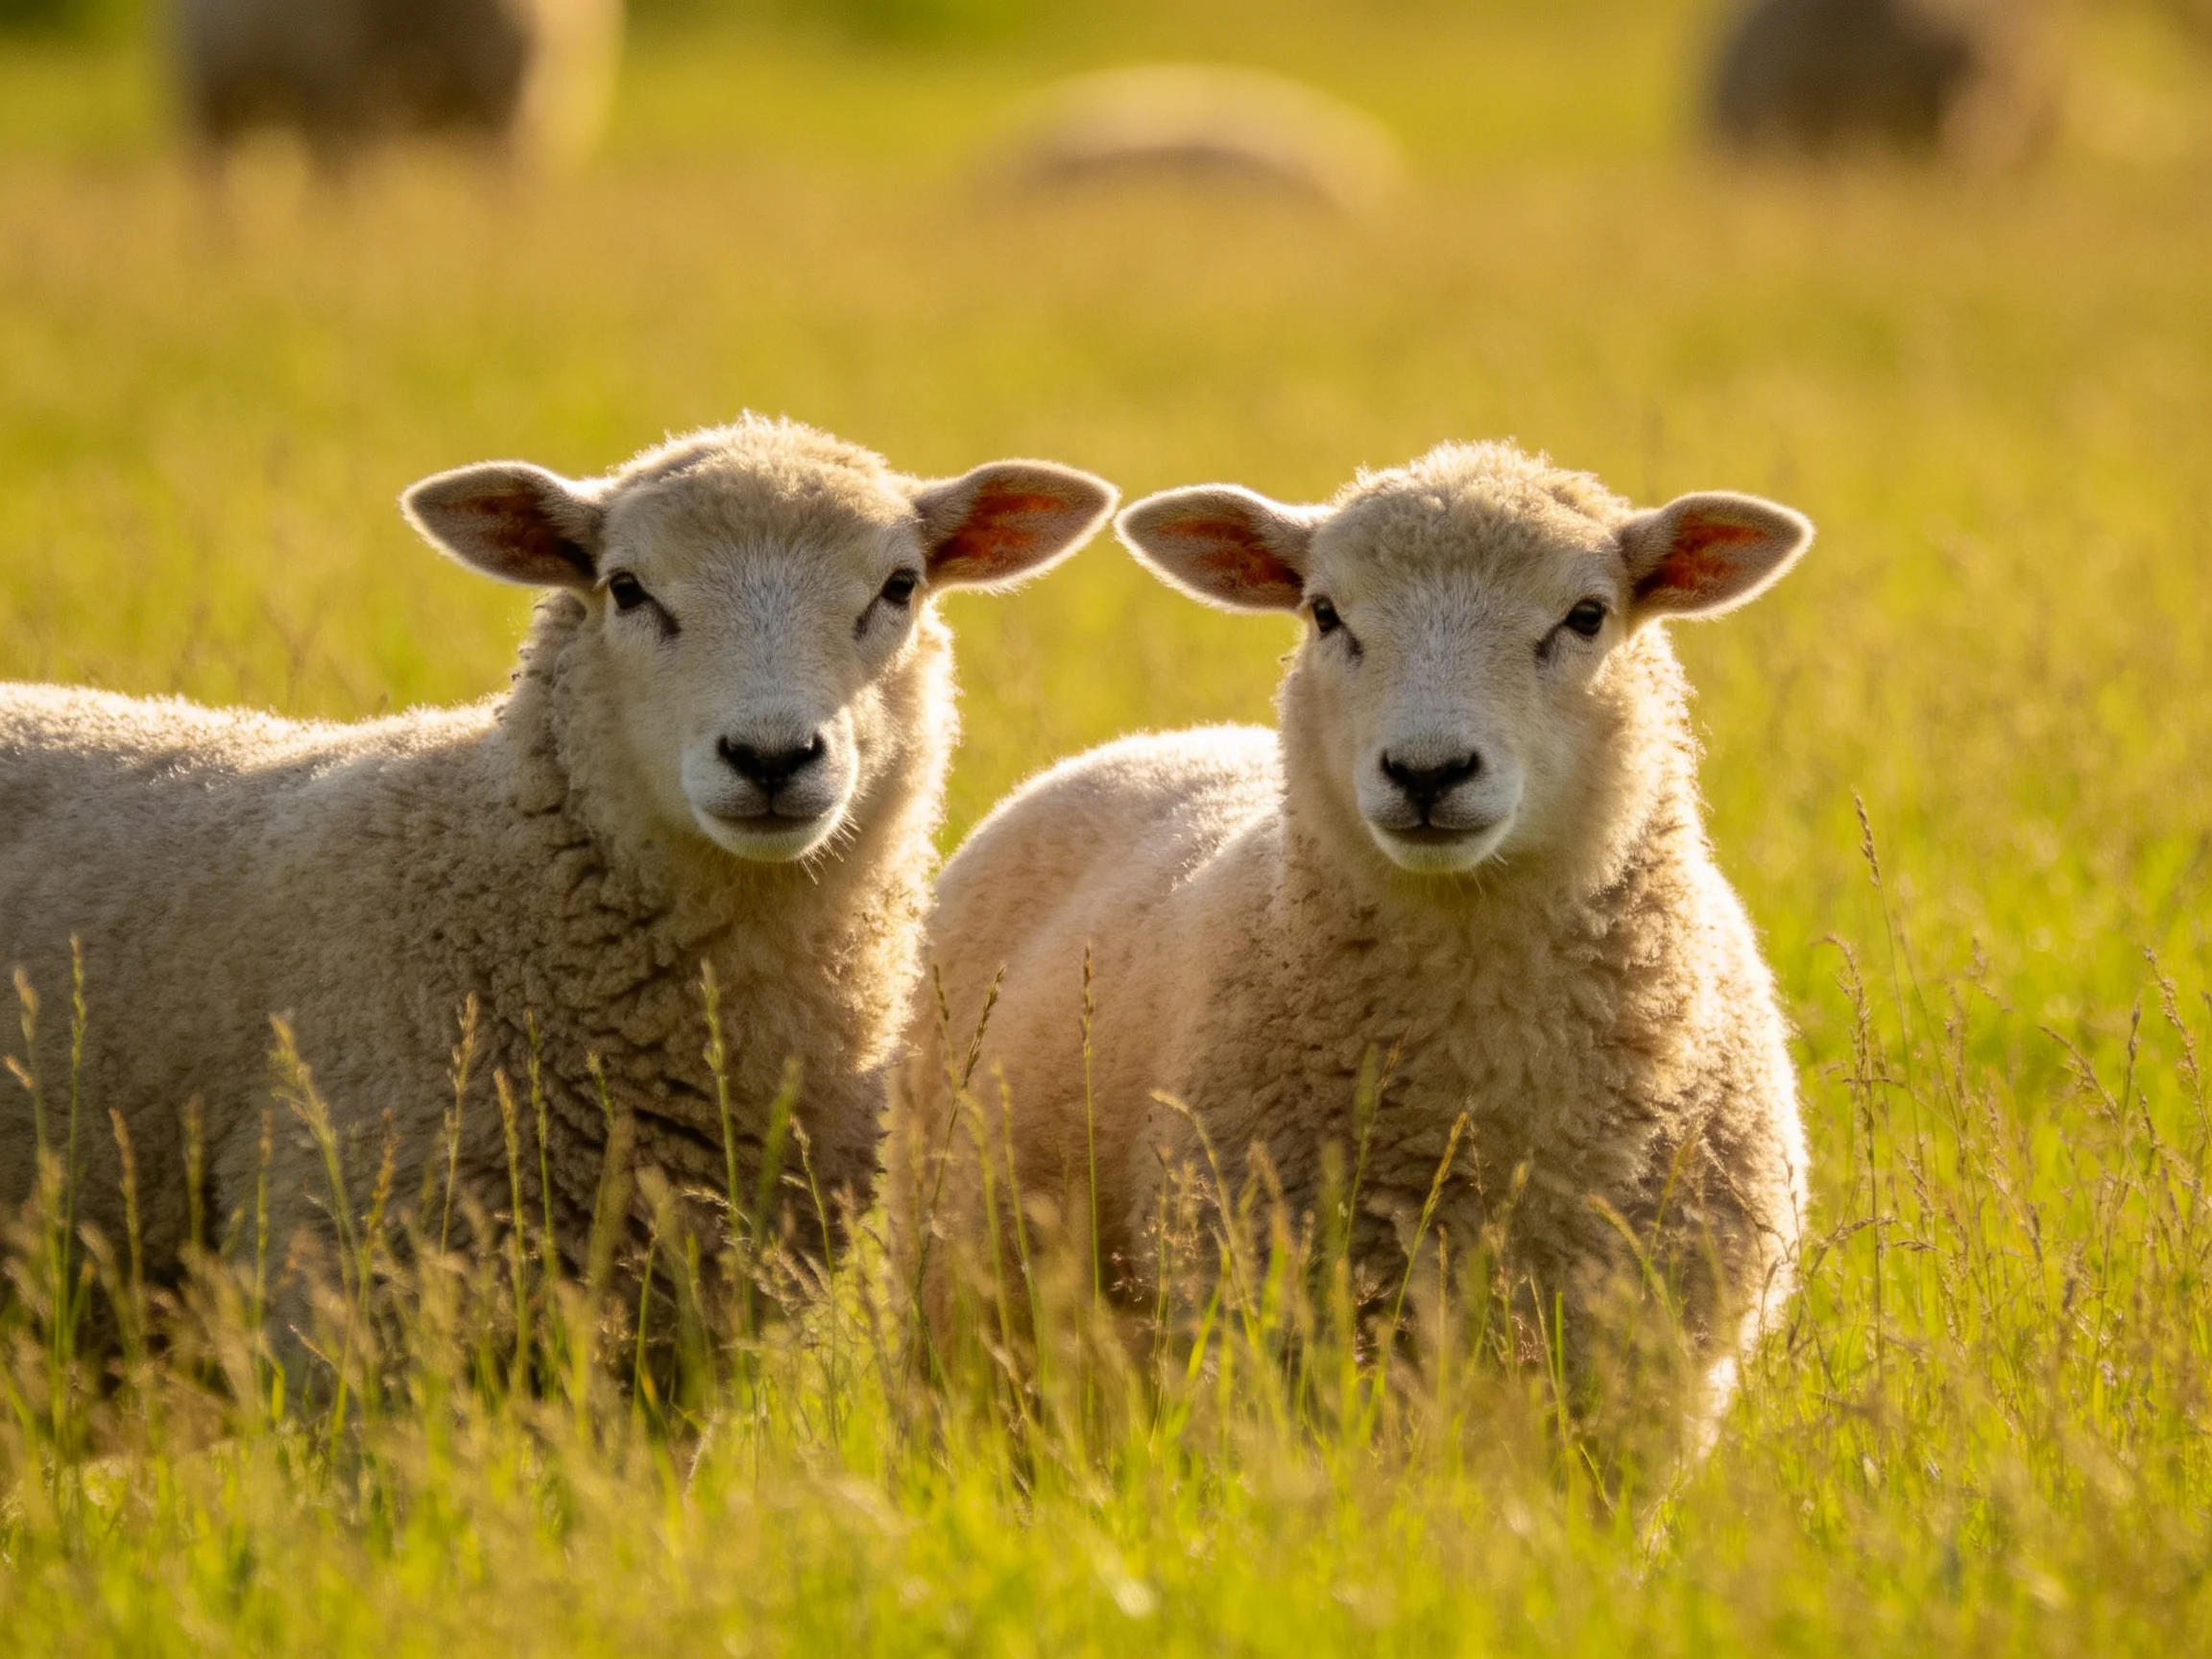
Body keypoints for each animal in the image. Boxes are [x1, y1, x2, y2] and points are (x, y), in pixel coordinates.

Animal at [887, 441, 1810, 1436]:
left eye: (1588, 616)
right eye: (1326, 613)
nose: (1428, 771)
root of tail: (1160, 739)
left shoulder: (1653, 1366)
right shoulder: (1276, 1327)